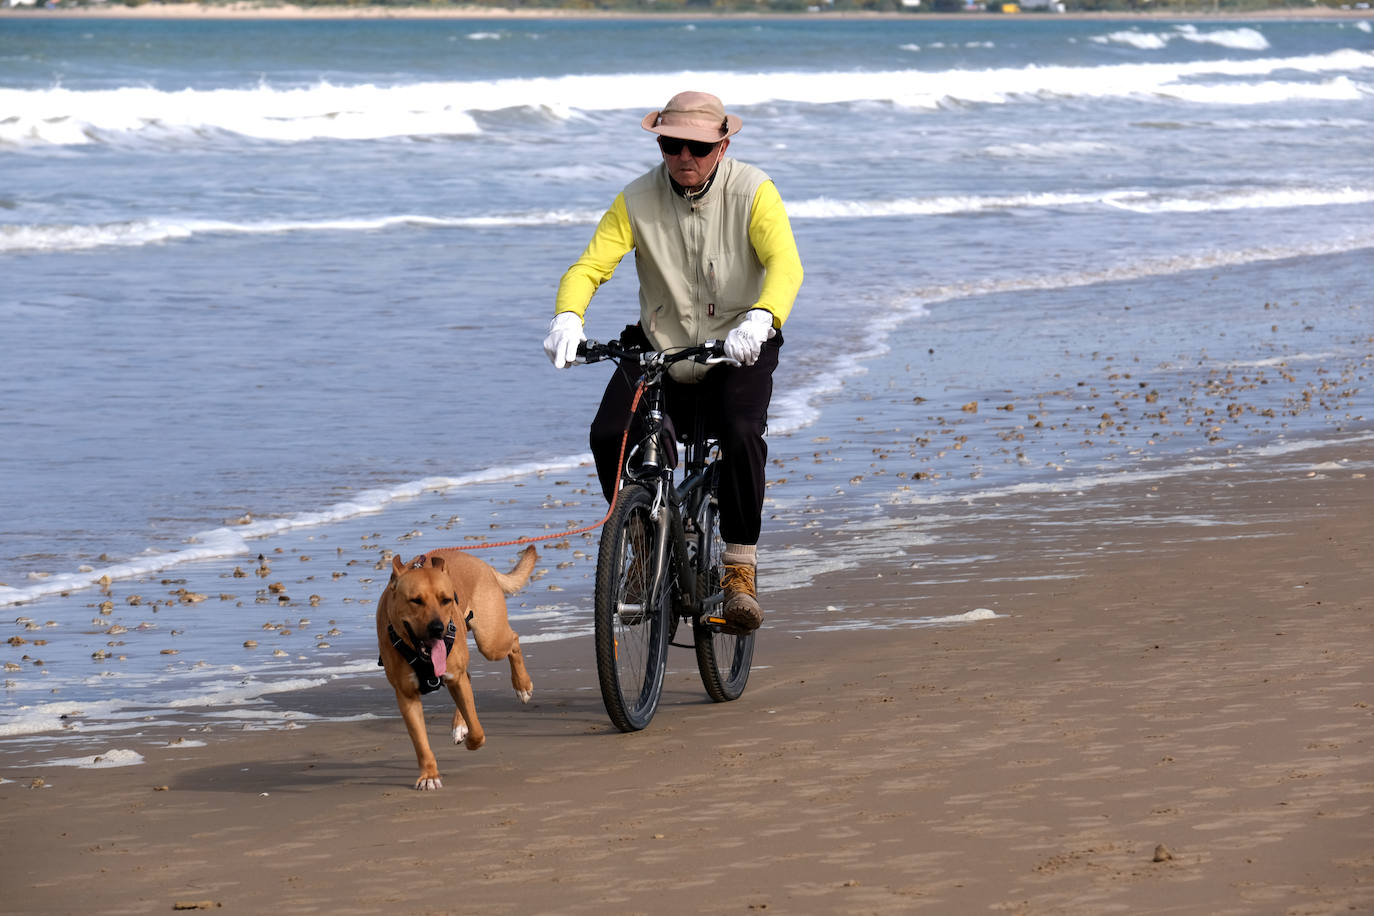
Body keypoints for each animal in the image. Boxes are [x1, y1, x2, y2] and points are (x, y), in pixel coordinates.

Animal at [376, 543, 535, 791]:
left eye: (446, 600)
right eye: (416, 600)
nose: (437, 629)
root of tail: (479, 562)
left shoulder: (455, 678)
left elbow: (478, 729)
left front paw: (472, 740)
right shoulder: (406, 695)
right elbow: (421, 743)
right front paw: (429, 775)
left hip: (490, 641)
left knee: (514, 641)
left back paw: (522, 685)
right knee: (469, 676)